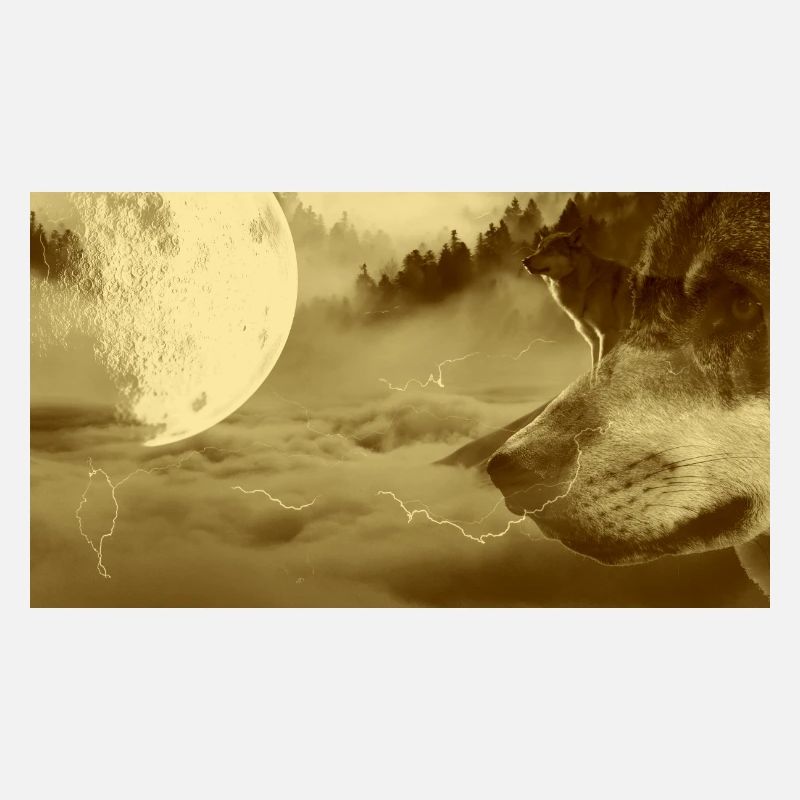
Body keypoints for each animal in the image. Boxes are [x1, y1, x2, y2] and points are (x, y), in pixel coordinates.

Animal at [522, 228, 632, 369]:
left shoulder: (608, 334)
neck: (587, 285)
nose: (524, 261)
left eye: (549, 250)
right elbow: (594, 369)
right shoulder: (593, 340)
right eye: (538, 249)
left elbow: (601, 371)